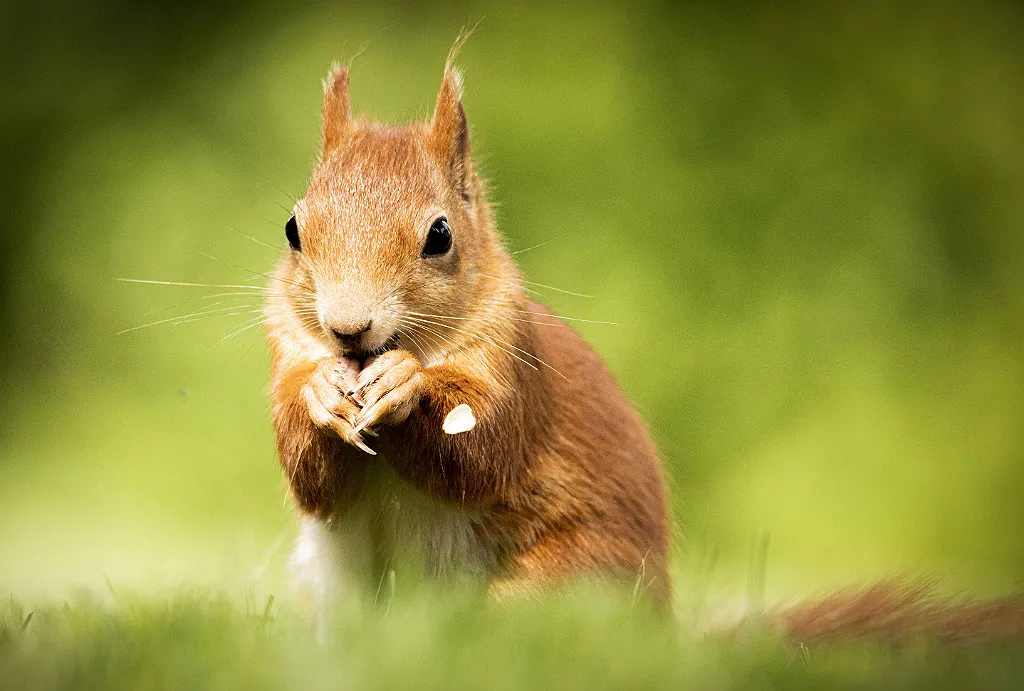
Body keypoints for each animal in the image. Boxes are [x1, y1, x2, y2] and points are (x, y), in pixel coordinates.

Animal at [263, 57, 670, 613]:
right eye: (292, 229)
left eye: (440, 235)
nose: (347, 327)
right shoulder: (287, 349)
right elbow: (311, 478)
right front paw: (320, 393)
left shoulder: (511, 359)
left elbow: (481, 452)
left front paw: (404, 384)